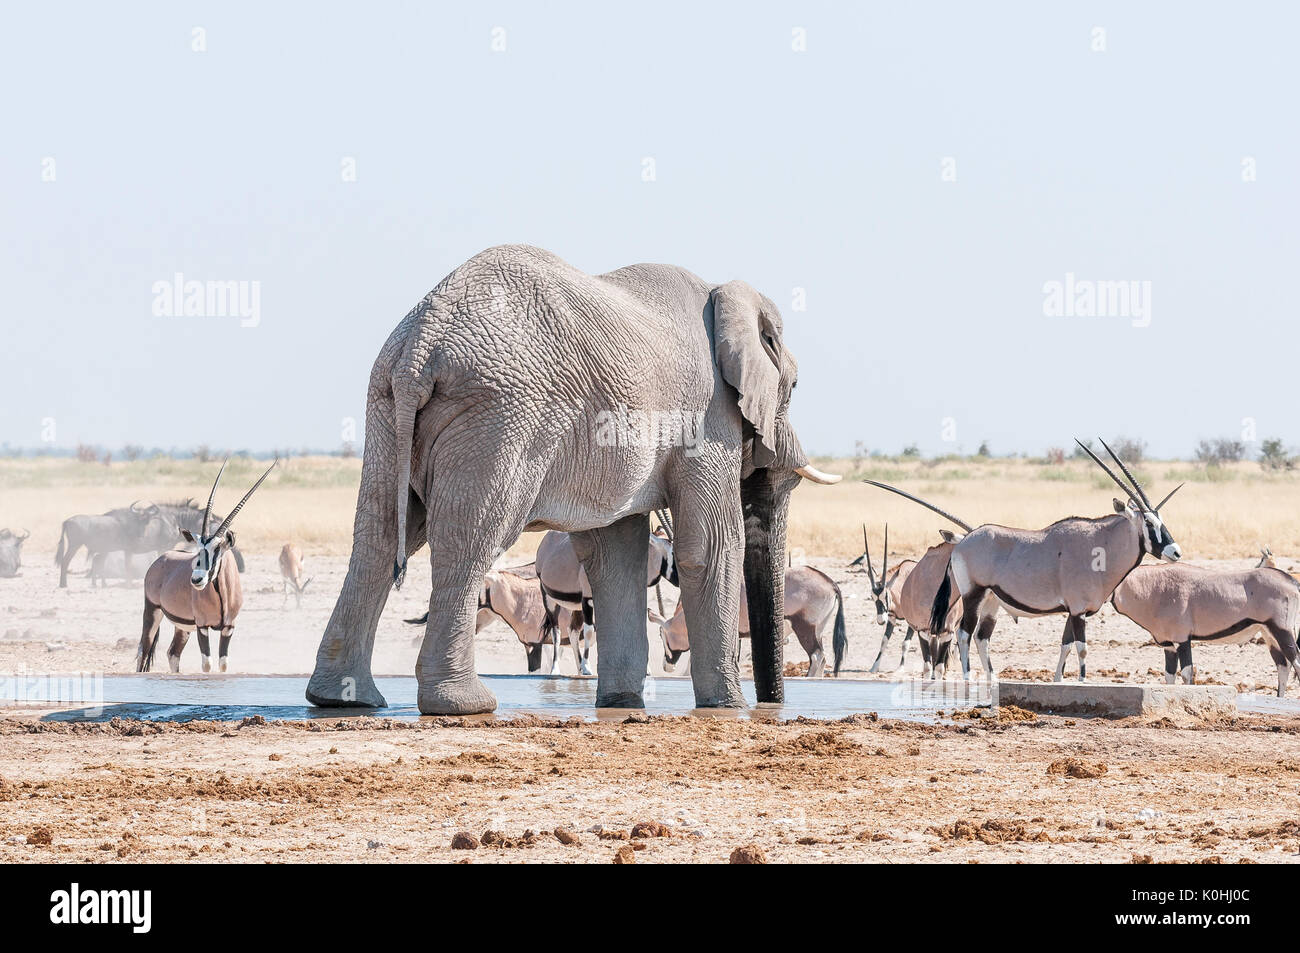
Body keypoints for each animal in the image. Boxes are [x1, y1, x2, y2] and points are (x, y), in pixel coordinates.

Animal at [304, 245, 837, 712]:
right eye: (794, 386)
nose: (772, 706)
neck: (724, 292)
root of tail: (421, 344)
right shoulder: (704, 419)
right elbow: (710, 546)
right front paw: (726, 708)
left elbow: (615, 554)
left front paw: (620, 704)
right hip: (500, 415)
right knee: (471, 537)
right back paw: (464, 705)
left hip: (387, 403)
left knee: (377, 536)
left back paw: (343, 699)